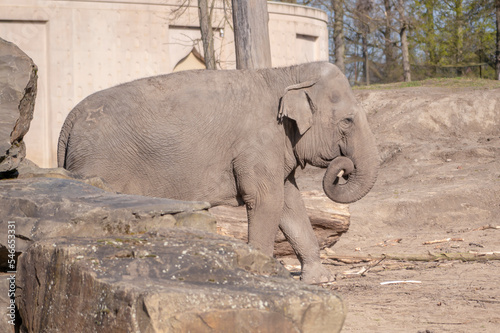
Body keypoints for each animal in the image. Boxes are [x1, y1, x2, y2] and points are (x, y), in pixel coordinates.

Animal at [58, 61, 376, 282]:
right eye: (347, 121)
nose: (343, 168)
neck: (287, 72)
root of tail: (69, 119)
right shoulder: (257, 143)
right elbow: (267, 200)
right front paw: (261, 274)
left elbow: (290, 204)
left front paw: (321, 280)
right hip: (99, 163)